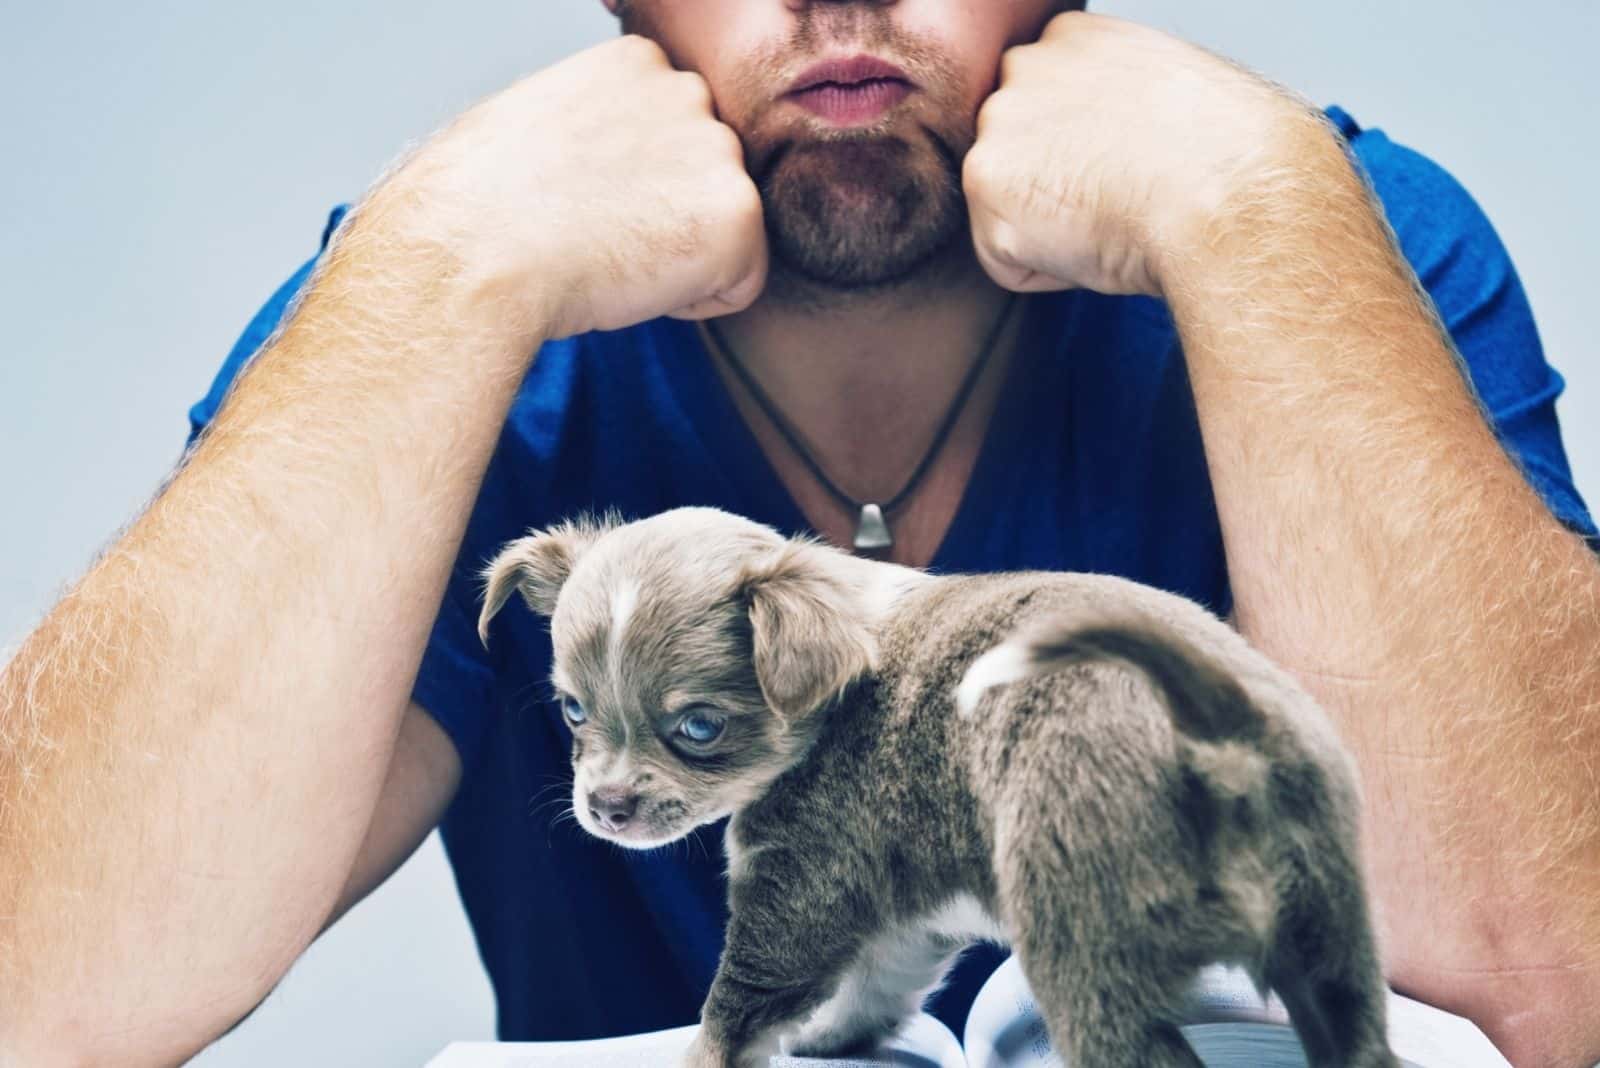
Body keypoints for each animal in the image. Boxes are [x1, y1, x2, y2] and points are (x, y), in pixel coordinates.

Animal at [476, 508, 1401, 1068]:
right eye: (572, 710)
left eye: (698, 728)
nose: (606, 808)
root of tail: (1212, 719)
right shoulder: (904, 926)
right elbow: (871, 993)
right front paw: (827, 1040)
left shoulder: (795, 896)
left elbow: (732, 1011)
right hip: (1333, 945)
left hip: (1086, 948)